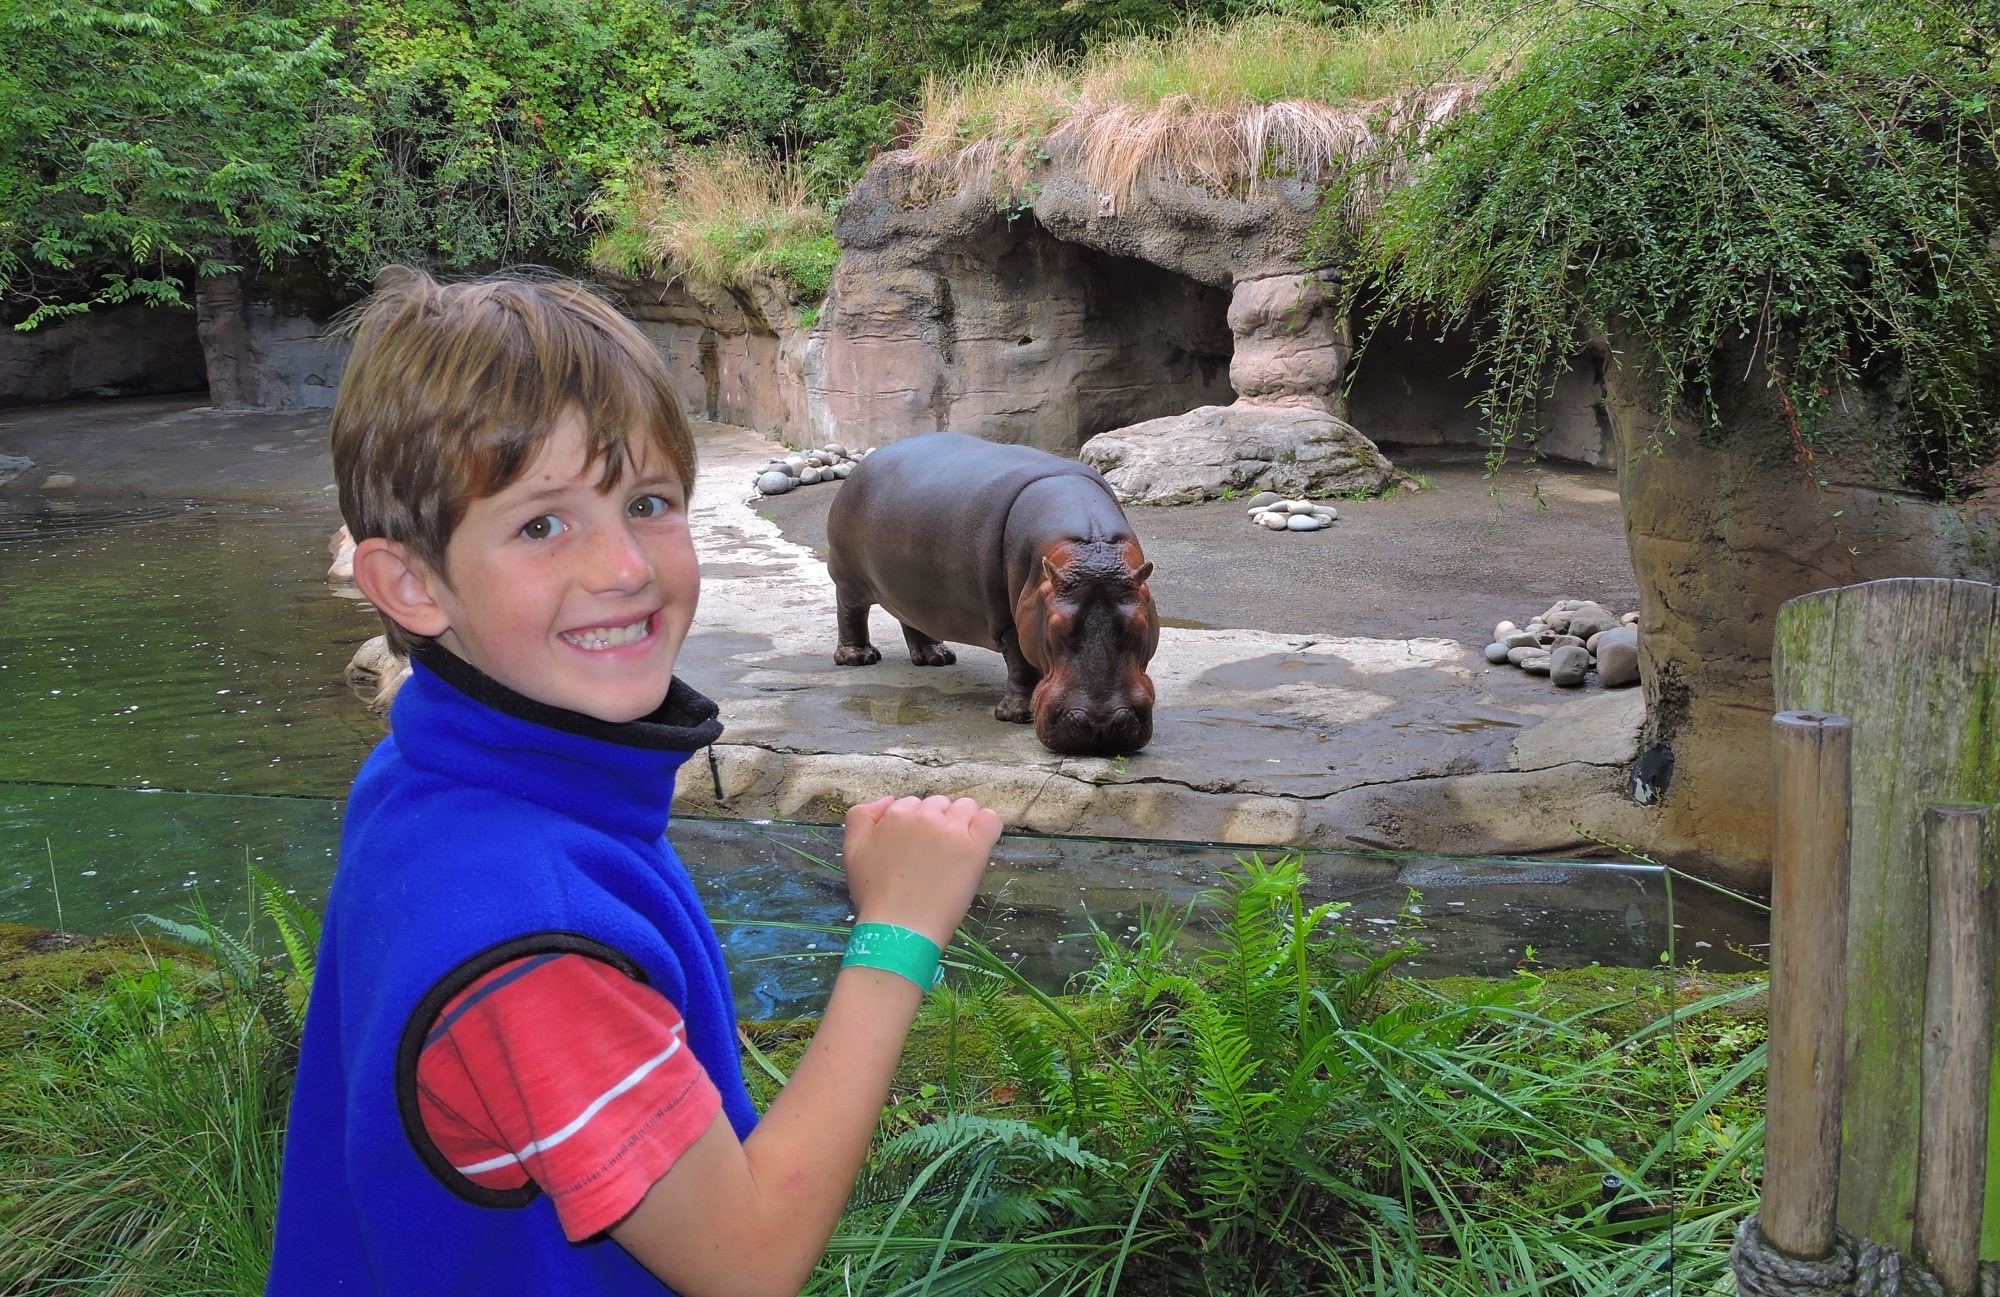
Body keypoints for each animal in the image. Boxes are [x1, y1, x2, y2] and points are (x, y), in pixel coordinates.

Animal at [824, 430, 1168, 756]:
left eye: (1140, 624)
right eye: (1054, 626)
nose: (1101, 726)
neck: (1090, 550)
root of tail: (864, 463)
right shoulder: (1009, 621)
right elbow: (1021, 664)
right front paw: (1016, 716)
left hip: (910, 588)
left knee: (912, 618)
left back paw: (937, 658)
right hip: (848, 578)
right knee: (850, 612)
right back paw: (859, 658)